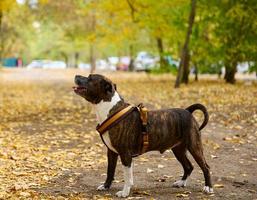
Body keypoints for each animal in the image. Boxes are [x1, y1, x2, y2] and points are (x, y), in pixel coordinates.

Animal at [72, 74, 212, 198]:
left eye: (90, 78)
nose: (76, 75)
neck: (110, 109)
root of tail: (188, 110)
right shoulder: (111, 152)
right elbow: (110, 171)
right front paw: (106, 186)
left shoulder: (125, 154)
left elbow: (127, 176)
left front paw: (125, 192)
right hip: (178, 149)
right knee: (188, 166)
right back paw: (181, 182)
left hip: (194, 146)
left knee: (205, 167)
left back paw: (208, 187)